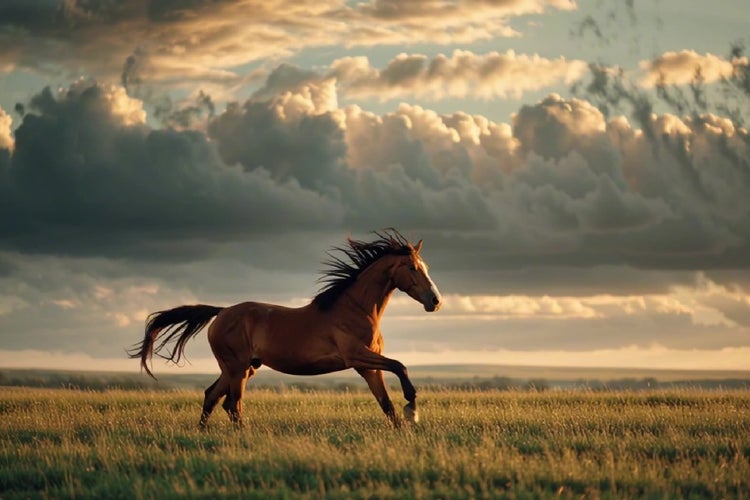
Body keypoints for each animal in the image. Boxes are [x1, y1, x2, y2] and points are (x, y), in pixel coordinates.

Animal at [128, 229, 442, 428]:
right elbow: (400, 366)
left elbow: (386, 403)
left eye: (425, 266)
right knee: (233, 403)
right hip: (237, 368)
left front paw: (404, 425)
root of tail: (221, 312)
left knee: (213, 397)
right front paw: (412, 407)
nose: (435, 301)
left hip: (242, 368)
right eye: (412, 268)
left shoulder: (368, 367)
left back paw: (204, 434)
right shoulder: (356, 356)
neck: (355, 309)